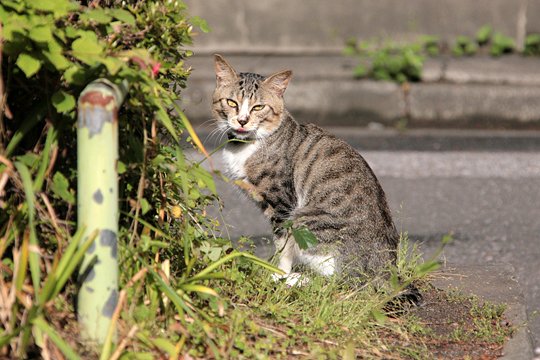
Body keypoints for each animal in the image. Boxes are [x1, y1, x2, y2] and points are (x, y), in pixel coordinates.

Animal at [211, 54, 400, 288]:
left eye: (258, 107)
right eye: (231, 102)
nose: (242, 121)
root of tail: (387, 268)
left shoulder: (282, 204)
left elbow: (282, 247)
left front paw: (278, 273)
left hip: (305, 220)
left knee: (339, 280)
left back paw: (295, 278)